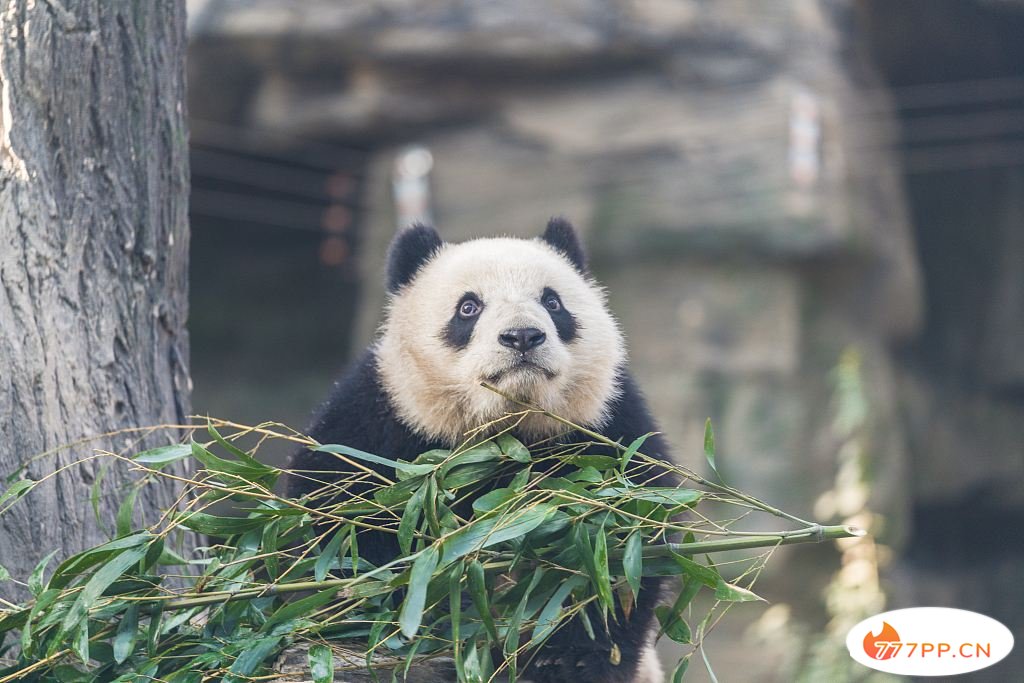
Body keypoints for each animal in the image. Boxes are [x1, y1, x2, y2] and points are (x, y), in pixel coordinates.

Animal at [286, 219, 671, 683]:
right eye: (468, 307)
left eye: (552, 302)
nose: (522, 336)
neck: (504, 430)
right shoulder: (379, 424)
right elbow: (341, 541)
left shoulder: (604, 430)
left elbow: (618, 549)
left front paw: (563, 657)